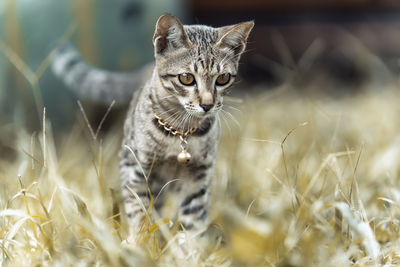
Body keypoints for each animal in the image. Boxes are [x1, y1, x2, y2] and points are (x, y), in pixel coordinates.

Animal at [52, 13, 253, 238]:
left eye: (223, 78)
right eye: (186, 78)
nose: (208, 105)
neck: (180, 131)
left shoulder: (200, 174)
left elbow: (194, 216)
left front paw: (191, 245)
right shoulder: (134, 167)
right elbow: (139, 209)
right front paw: (142, 241)